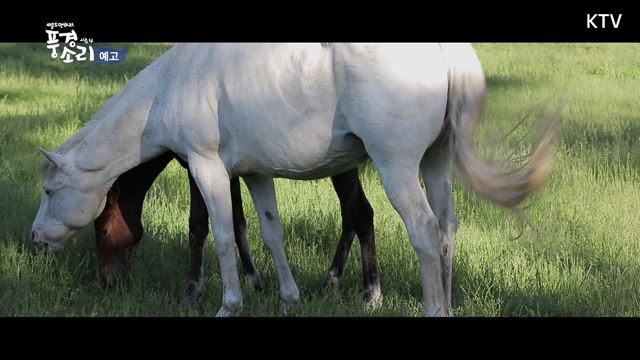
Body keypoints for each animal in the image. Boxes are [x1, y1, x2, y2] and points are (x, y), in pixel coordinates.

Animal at [93, 154, 382, 306]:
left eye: (103, 231)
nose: (107, 281)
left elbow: (198, 226)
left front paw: (193, 289)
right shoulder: (228, 170)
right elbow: (238, 222)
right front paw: (253, 280)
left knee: (361, 214)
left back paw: (369, 294)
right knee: (349, 217)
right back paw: (332, 280)